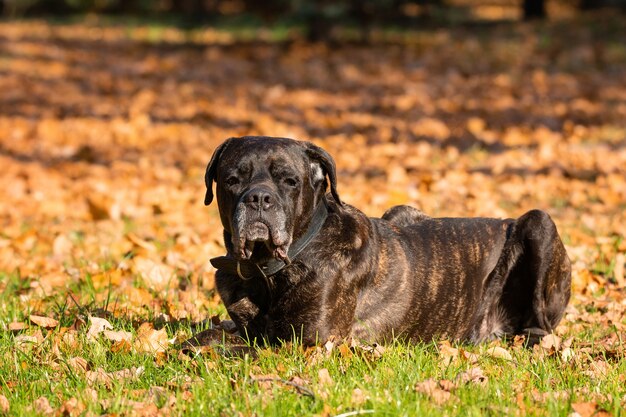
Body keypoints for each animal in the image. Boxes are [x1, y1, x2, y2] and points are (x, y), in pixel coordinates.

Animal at [204, 136, 572, 344]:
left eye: (289, 181)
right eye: (233, 180)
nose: (259, 198)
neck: (266, 271)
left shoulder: (308, 342)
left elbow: (235, 349)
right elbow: (214, 334)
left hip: (539, 222)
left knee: (541, 328)